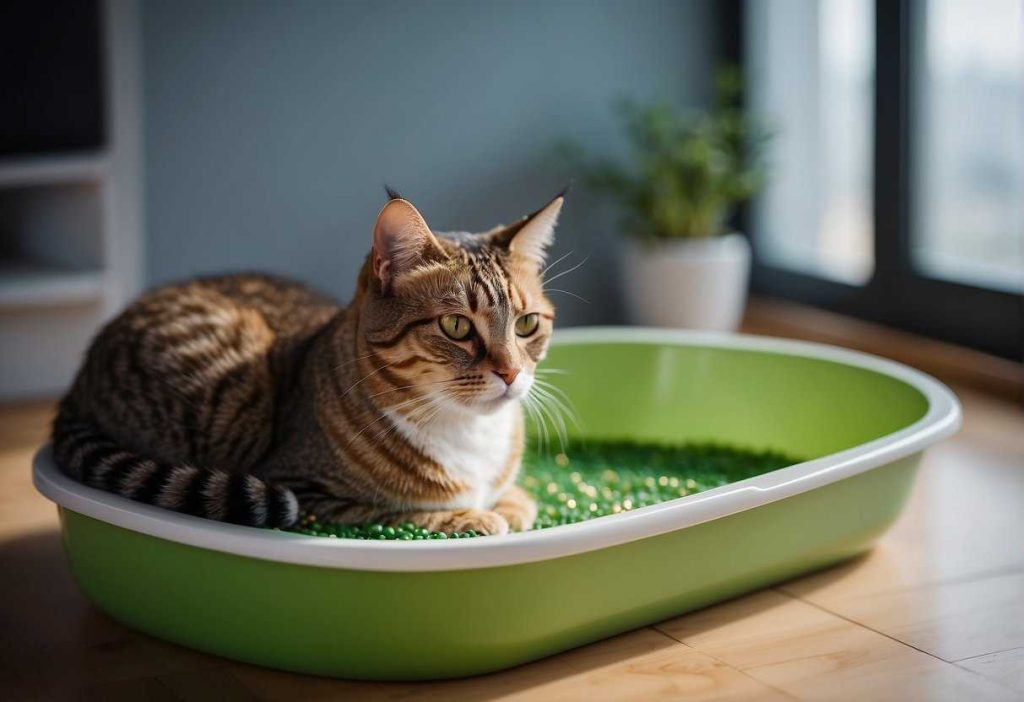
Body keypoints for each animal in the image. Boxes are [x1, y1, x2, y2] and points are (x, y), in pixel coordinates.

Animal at [49, 189, 569, 536]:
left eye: (526, 324)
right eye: (457, 326)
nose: (511, 372)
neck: (466, 431)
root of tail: (77, 384)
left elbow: (516, 498)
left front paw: (513, 503)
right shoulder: (308, 491)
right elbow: (390, 511)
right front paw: (473, 516)